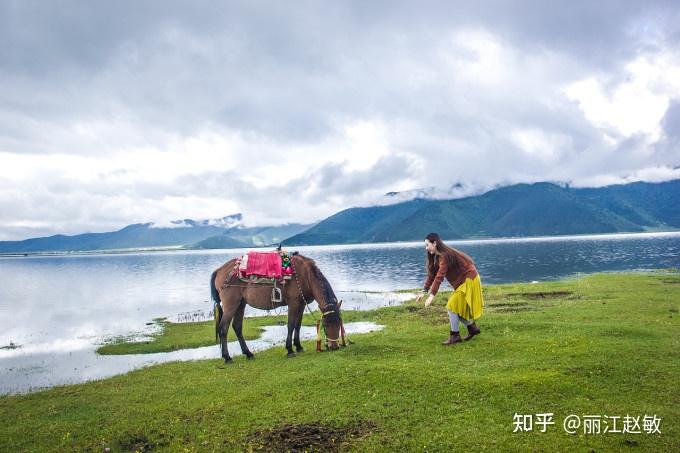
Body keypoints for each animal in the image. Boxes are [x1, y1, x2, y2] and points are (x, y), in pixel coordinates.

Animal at [209, 252, 342, 362]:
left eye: (339, 323)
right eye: (325, 325)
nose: (334, 347)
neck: (306, 276)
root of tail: (219, 270)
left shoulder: (302, 304)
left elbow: (298, 325)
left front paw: (298, 346)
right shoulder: (293, 303)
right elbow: (291, 325)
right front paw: (290, 350)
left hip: (240, 304)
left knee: (237, 327)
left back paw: (248, 354)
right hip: (231, 305)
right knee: (223, 328)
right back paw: (227, 357)